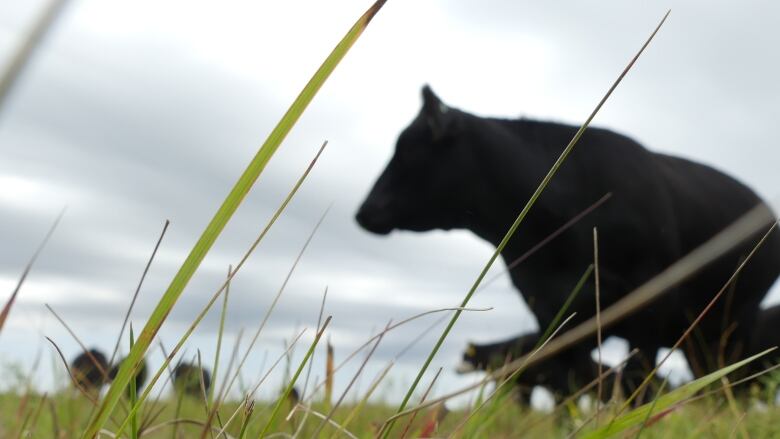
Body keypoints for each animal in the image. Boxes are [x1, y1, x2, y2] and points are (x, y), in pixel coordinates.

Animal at [356, 86, 780, 396]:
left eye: (406, 151)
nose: (363, 211)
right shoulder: (555, 314)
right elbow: (575, 386)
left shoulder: (650, 303)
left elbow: (633, 385)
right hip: (698, 334)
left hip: (735, 320)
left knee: (733, 383)